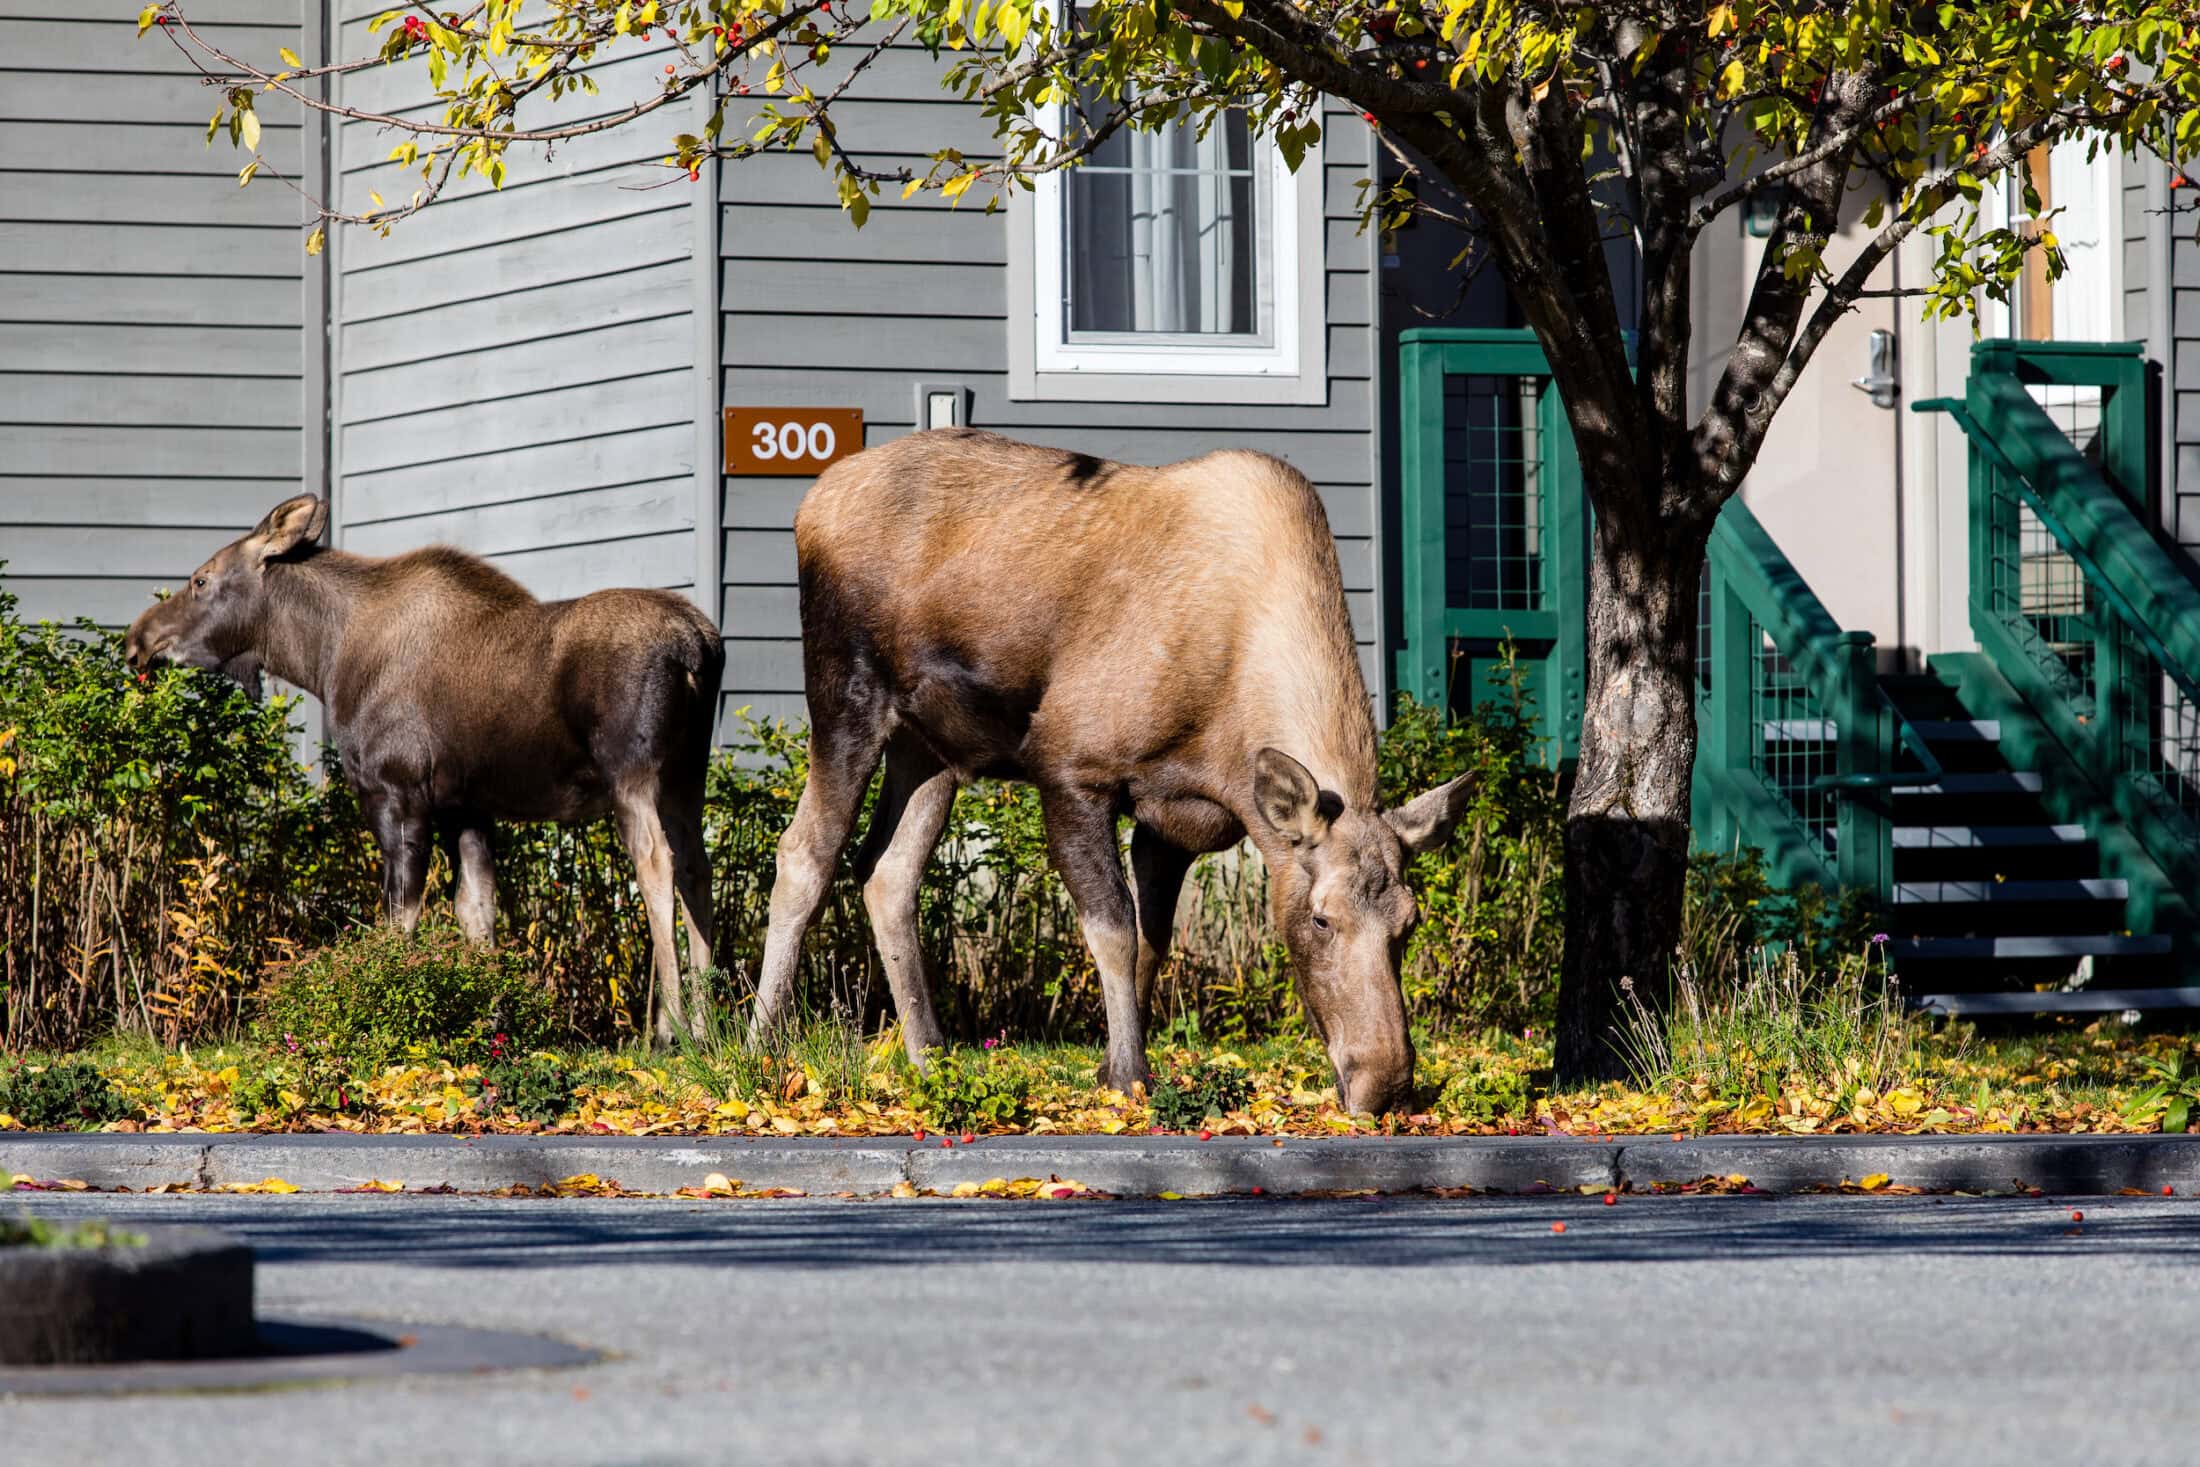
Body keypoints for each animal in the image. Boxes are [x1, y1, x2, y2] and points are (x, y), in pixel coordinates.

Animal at [761, 431, 1478, 1117]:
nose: (1387, 1086)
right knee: (805, 852)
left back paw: (930, 1056)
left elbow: (1150, 944)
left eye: (1409, 922)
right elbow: (1111, 929)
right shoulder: (1072, 771)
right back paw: (762, 1044)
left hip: (930, 747)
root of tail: (810, 503)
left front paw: (1112, 1066)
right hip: (846, 694)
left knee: (888, 873)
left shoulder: (1175, 824)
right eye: (1323, 919)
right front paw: (1130, 1076)